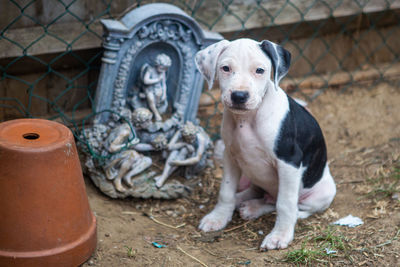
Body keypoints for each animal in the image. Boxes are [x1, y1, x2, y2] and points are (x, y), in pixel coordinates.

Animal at [195, 38, 336, 251]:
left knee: (289, 205)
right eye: (225, 68)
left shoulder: (289, 162)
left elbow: (285, 204)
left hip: (323, 192)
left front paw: (280, 236)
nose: (239, 96)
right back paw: (244, 202)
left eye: (259, 70)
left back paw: (255, 208)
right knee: (257, 192)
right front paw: (218, 217)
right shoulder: (230, 155)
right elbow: (226, 192)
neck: (247, 119)